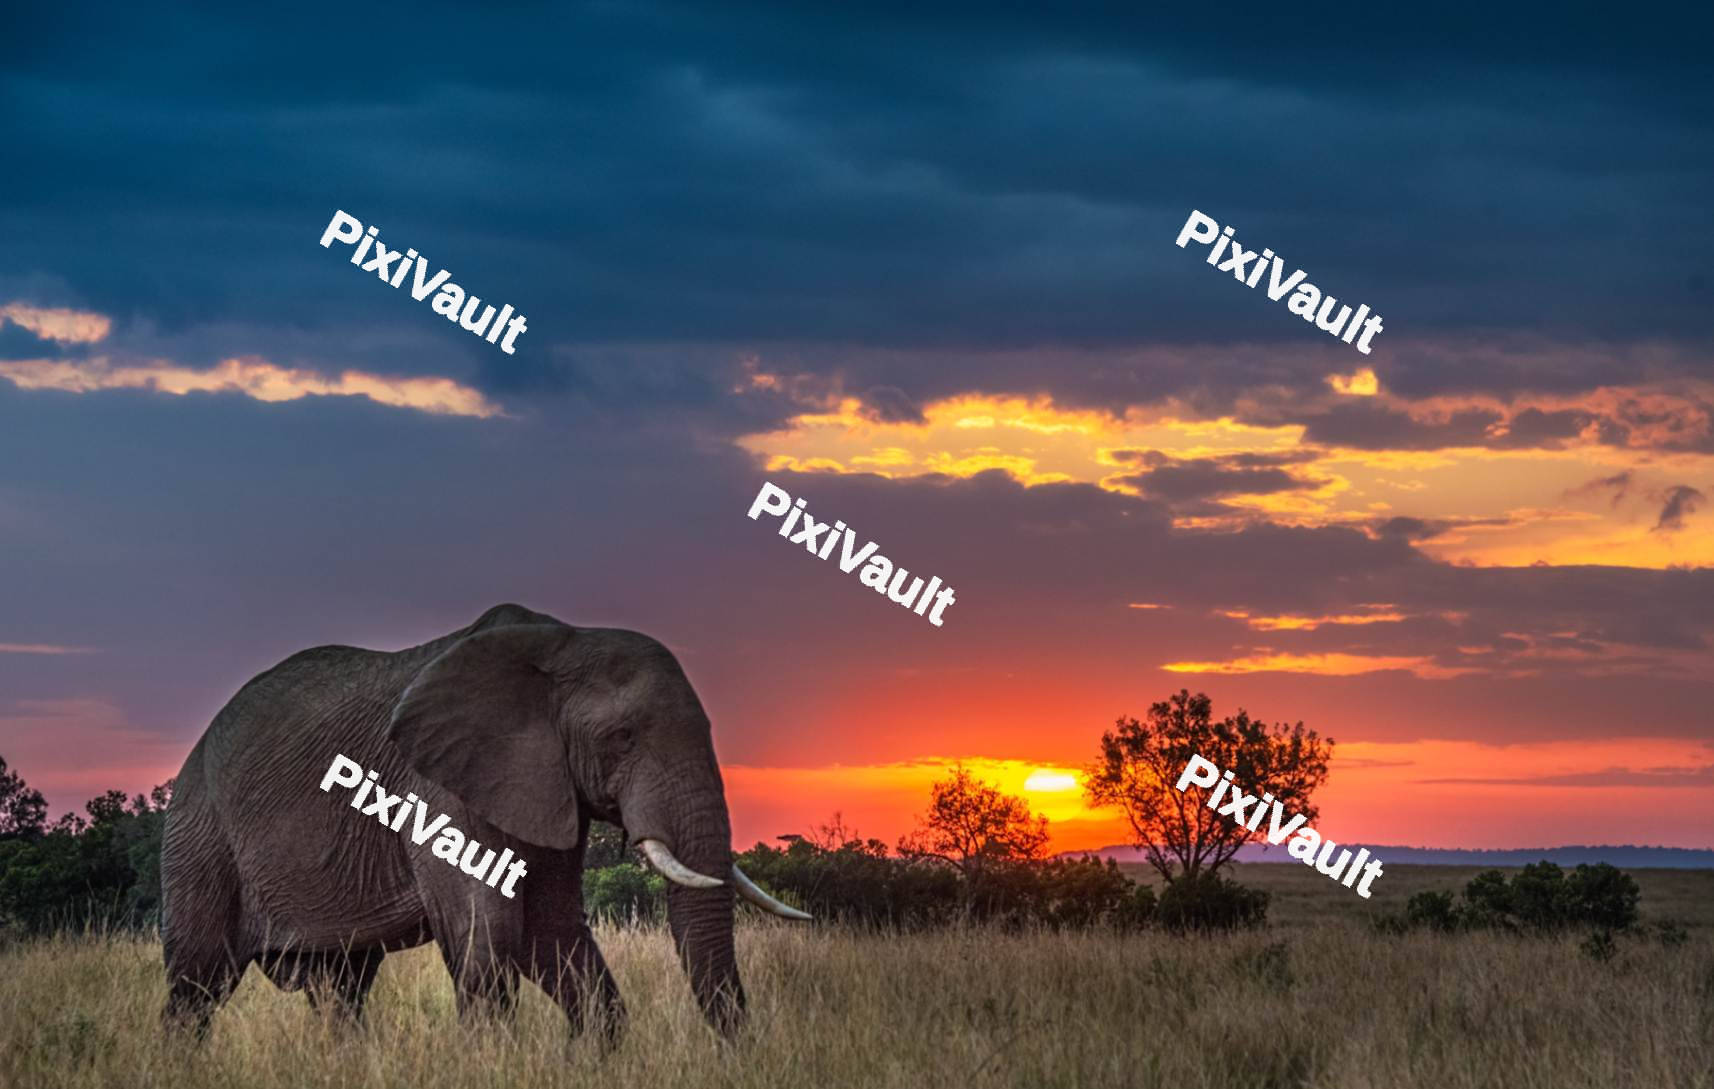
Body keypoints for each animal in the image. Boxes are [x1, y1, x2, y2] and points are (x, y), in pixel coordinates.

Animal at [159, 603, 807, 1042]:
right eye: (622, 738)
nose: (739, 1053)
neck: (561, 645)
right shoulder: (439, 783)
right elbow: (490, 931)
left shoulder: (543, 783)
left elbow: (551, 930)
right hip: (199, 834)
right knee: (196, 983)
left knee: (340, 987)